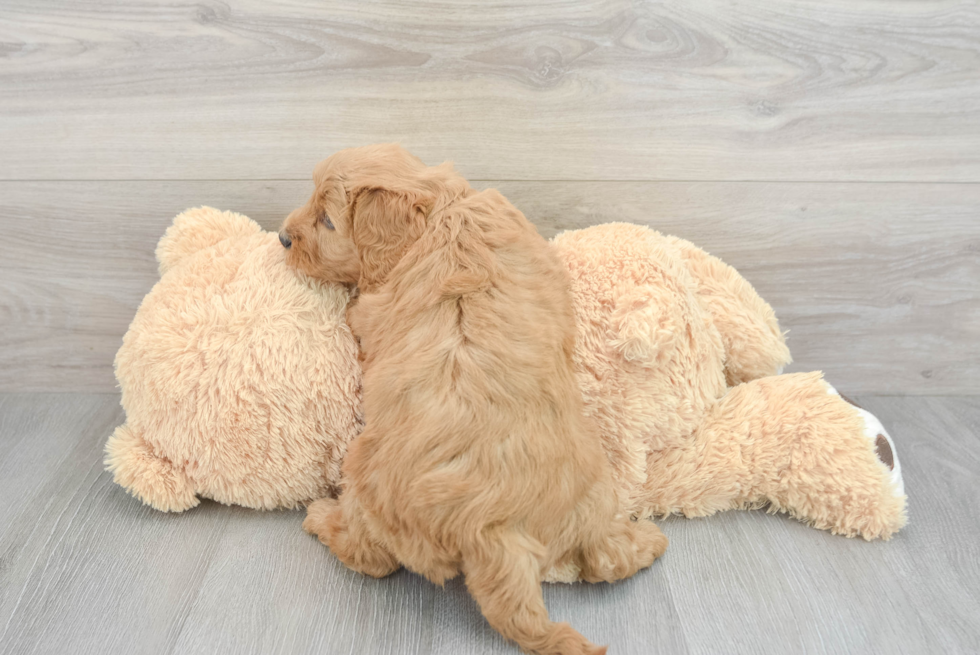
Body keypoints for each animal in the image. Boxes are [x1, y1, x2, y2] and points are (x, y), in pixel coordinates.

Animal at [280, 145, 668, 655]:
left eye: (326, 220)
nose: (283, 237)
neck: (443, 211)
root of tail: (491, 527)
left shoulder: (367, 311)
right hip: (595, 493)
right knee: (607, 557)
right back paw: (650, 542)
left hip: (365, 485)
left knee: (371, 557)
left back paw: (323, 518)